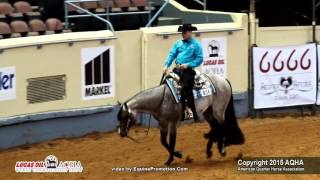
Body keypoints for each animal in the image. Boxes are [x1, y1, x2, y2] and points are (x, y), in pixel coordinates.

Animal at [117, 73, 245, 166]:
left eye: (124, 117)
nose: (121, 133)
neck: (162, 99)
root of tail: (223, 79)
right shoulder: (163, 123)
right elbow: (163, 141)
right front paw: (174, 157)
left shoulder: (173, 123)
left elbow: (172, 141)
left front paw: (174, 158)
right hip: (207, 112)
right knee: (216, 128)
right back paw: (209, 151)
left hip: (219, 111)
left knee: (222, 127)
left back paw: (222, 149)